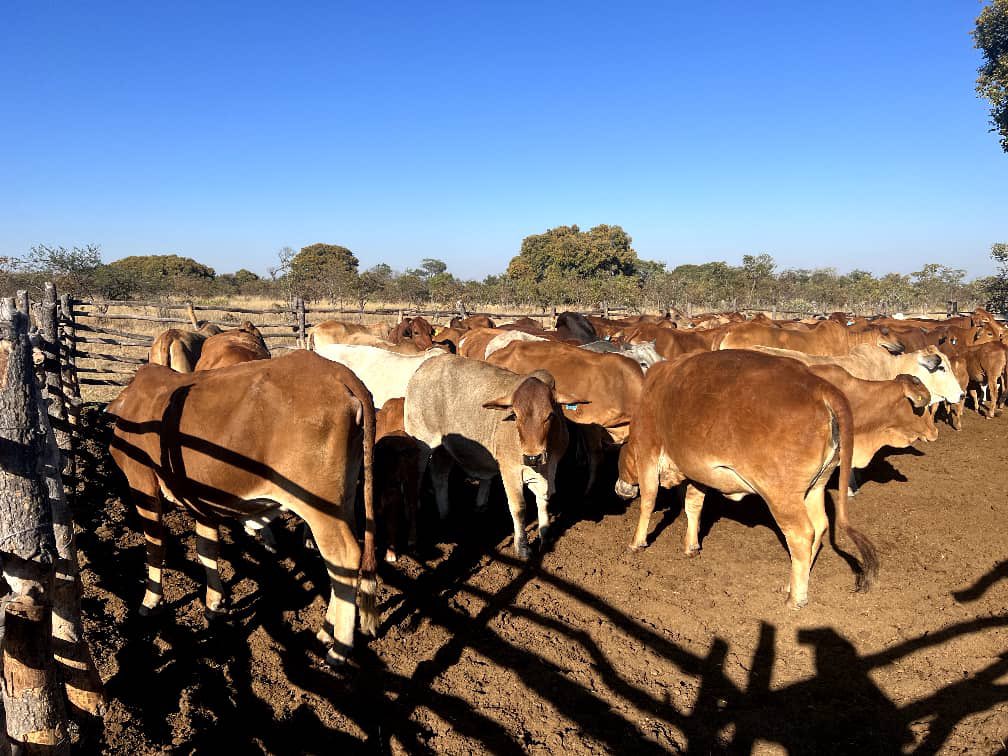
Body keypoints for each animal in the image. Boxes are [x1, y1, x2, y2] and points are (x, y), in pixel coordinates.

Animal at [106, 351, 377, 668]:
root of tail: (338, 372)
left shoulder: (142, 484)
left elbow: (155, 546)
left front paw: (150, 601)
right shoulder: (200, 499)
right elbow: (206, 548)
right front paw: (214, 603)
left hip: (319, 507)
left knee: (343, 556)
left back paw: (339, 649)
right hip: (343, 501)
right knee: (342, 563)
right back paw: (326, 630)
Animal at [404, 354, 585, 558]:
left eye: (550, 415)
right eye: (515, 415)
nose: (532, 458)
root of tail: (425, 365)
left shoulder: (549, 469)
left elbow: (544, 500)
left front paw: (545, 539)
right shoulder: (510, 469)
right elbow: (519, 507)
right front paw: (522, 547)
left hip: (444, 448)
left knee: (439, 476)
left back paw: (446, 515)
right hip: (421, 444)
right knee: (415, 483)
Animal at [614, 350, 879, 609]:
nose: (619, 488)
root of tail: (820, 387)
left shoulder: (648, 451)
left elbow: (649, 500)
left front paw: (636, 543)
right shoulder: (698, 473)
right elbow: (693, 506)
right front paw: (691, 545)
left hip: (781, 494)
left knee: (802, 534)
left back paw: (796, 597)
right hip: (815, 488)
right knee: (820, 526)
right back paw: (791, 585)